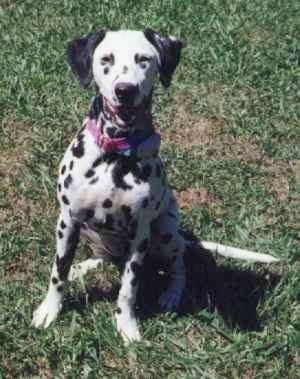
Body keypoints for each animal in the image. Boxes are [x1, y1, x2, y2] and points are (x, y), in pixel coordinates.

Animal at [31, 29, 278, 344]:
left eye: (144, 59)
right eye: (106, 59)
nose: (125, 90)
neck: (115, 155)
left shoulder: (140, 234)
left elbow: (128, 288)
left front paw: (126, 325)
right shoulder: (68, 221)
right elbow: (58, 272)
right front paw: (49, 310)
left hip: (165, 231)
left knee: (179, 265)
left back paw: (172, 294)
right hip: (89, 232)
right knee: (101, 257)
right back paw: (81, 267)